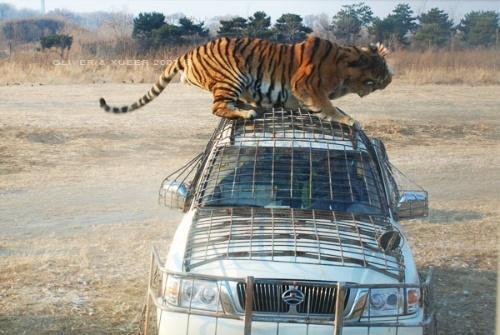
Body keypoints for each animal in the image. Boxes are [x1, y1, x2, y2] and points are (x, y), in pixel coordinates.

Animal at [99, 35, 392, 125]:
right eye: (382, 68)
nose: (391, 77)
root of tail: (189, 52)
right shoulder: (307, 85)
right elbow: (328, 108)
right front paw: (348, 120)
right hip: (232, 76)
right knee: (217, 107)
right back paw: (247, 112)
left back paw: (249, 107)